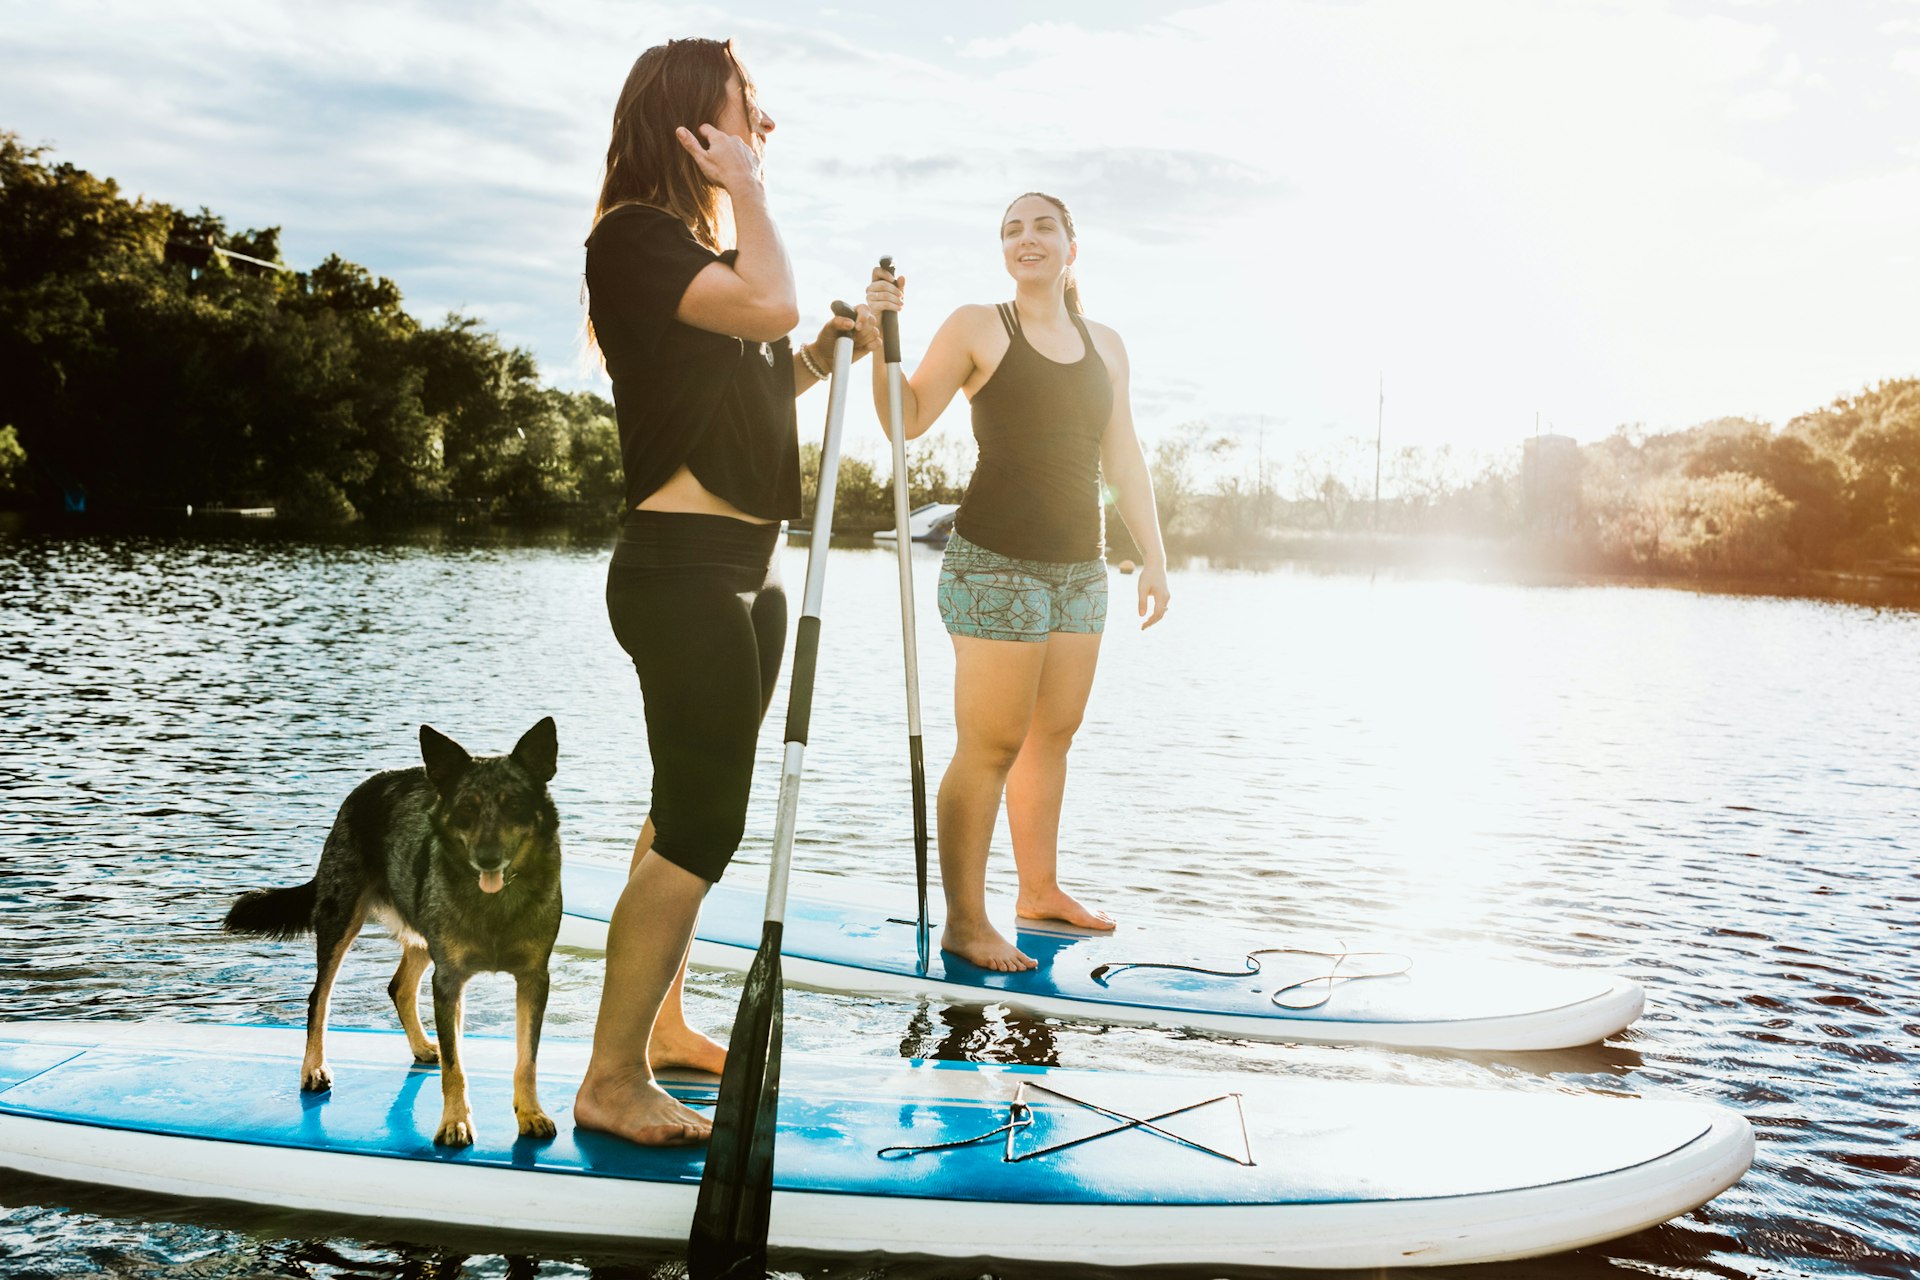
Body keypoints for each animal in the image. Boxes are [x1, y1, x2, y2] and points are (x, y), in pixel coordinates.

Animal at [221, 717, 560, 1143]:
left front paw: (530, 1113)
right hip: (341, 920)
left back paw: (420, 1045)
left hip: (421, 930)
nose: (487, 858)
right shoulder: (449, 982)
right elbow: (456, 1067)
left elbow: (526, 1058)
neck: (494, 905)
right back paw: (313, 1068)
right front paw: (455, 1121)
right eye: (466, 808)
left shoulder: (533, 979)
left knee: (399, 987)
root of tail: (367, 786)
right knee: (319, 997)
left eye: (514, 804)